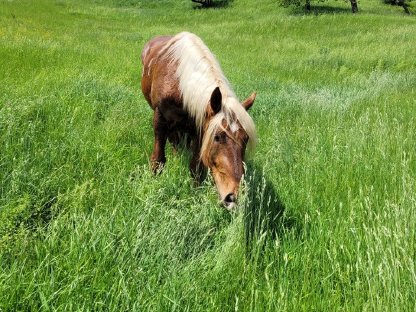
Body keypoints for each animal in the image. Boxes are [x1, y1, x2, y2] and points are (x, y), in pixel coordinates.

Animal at [141, 31, 255, 210]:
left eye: (246, 139)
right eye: (217, 137)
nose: (234, 197)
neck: (178, 83)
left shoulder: (199, 128)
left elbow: (196, 166)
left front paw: (195, 192)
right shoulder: (160, 119)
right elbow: (158, 160)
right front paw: (155, 183)